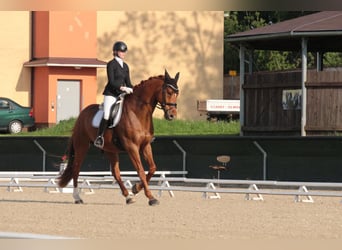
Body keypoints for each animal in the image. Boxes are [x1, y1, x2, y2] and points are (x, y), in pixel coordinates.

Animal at [57, 70, 180, 205]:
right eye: (169, 92)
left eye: (177, 93)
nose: (172, 115)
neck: (138, 114)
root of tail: (81, 114)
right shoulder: (132, 147)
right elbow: (141, 171)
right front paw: (151, 197)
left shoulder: (145, 146)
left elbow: (152, 168)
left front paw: (135, 189)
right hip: (82, 146)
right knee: (76, 169)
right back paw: (77, 197)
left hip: (110, 149)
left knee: (115, 173)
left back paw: (128, 196)